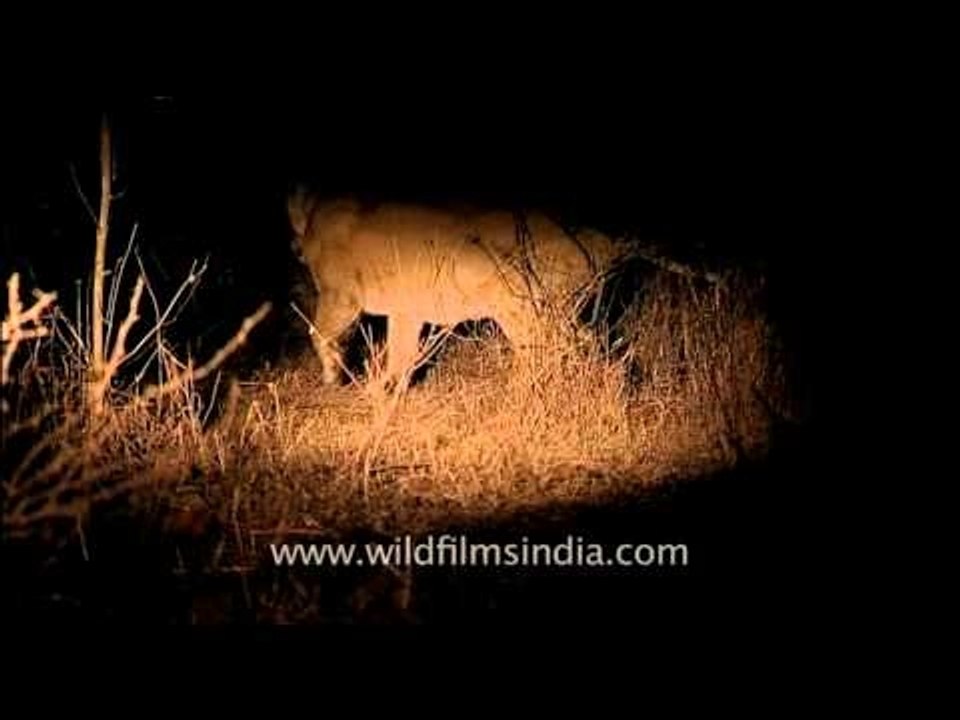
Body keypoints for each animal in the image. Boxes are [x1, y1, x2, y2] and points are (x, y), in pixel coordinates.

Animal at [287, 189, 622, 389]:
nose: (295, 249)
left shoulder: (341, 296)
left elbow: (319, 334)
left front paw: (334, 378)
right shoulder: (405, 310)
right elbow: (400, 354)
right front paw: (383, 391)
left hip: (519, 307)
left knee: (549, 347)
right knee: (580, 340)